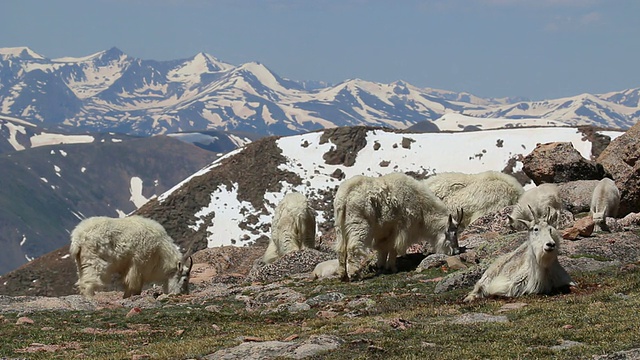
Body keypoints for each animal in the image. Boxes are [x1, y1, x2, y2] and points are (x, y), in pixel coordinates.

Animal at [332, 172, 462, 282]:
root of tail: (344, 197)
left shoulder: (384, 231)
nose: (456, 251)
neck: (421, 206)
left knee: (341, 249)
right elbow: (394, 247)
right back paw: (354, 274)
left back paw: (342, 275)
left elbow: (383, 248)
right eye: (454, 232)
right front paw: (392, 268)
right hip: (358, 224)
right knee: (352, 248)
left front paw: (381, 266)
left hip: (339, 227)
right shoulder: (402, 228)